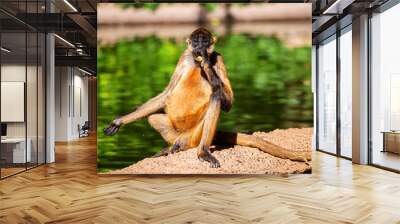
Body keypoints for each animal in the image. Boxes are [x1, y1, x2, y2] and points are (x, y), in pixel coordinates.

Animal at [104, 27, 310, 168]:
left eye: (205, 42)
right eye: (195, 43)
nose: (200, 49)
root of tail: (184, 139)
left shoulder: (218, 57)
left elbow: (227, 101)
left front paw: (207, 66)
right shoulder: (184, 56)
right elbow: (166, 95)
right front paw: (119, 121)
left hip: (195, 135)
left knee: (216, 96)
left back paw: (200, 151)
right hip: (175, 133)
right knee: (153, 117)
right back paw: (170, 148)